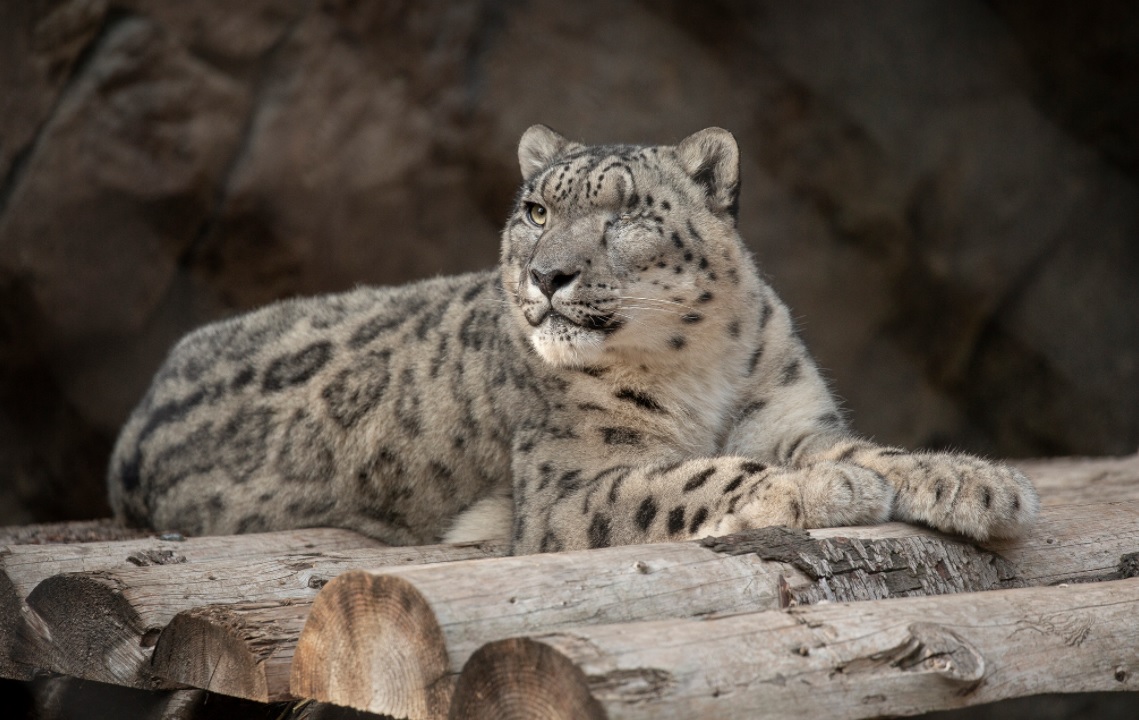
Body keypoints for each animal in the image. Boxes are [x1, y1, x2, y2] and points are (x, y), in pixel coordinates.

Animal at [108, 125, 1039, 554]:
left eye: (625, 214)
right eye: (535, 210)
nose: (546, 274)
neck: (699, 369)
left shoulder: (789, 418)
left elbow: (866, 449)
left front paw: (976, 482)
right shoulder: (571, 481)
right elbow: (693, 476)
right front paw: (824, 491)